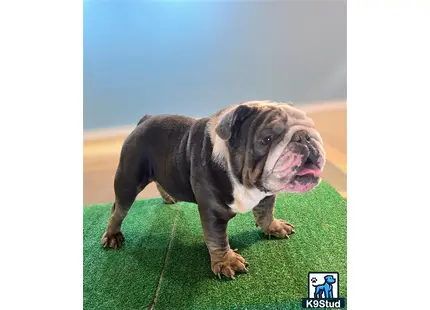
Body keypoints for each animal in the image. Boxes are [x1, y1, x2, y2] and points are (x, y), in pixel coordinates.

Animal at [101, 100, 326, 280]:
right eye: (267, 139)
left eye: (311, 128)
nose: (304, 137)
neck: (244, 181)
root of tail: (144, 120)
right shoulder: (213, 212)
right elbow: (217, 239)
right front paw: (226, 261)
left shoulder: (267, 194)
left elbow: (266, 212)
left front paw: (274, 226)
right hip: (128, 180)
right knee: (118, 210)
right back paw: (112, 235)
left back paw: (169, 197)